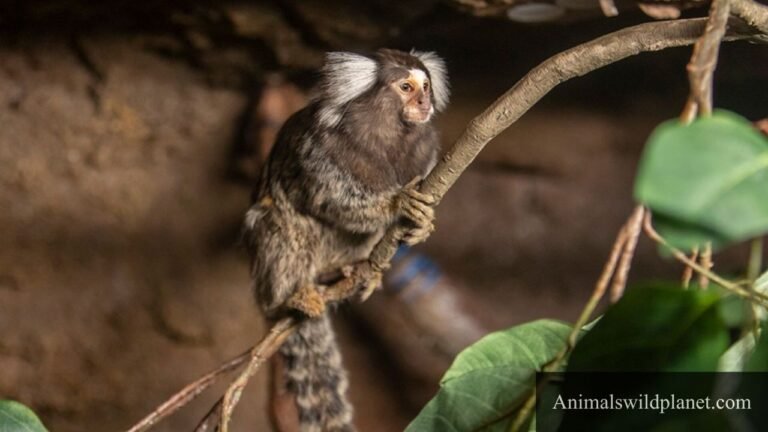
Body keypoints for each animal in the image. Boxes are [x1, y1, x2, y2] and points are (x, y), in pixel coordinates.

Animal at [243, 48, 449, 432]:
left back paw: (354, 270)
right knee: (281, 223)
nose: (424, 101)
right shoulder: (321, 149)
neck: (388, 136)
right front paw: (398, 203)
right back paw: (289, 297)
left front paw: (422, 225)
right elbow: (330, 201)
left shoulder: (426, 151)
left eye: (426, 86)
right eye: (406, 87)